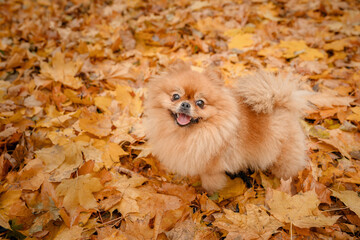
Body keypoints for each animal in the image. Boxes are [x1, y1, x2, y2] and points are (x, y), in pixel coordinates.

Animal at [145, 61, 308, 192]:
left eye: (200, 103)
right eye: (176, 96)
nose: (185, 104)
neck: (189, 133)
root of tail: (281, 105)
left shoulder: (211, 170)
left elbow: (210, 185)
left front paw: (206, 195)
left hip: (283, 158)